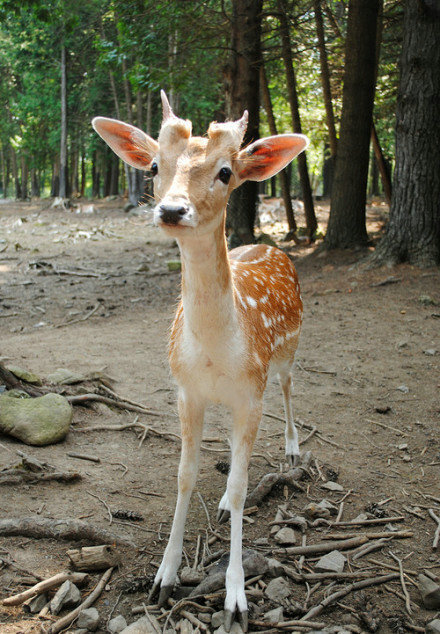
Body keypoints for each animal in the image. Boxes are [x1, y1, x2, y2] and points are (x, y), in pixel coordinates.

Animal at [91, 91, 308, 628]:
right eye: (153, 167)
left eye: (226, 171)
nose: (172, 209)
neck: (214, 353)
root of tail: (269, 245)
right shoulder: (186, 390)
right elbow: (185, 477)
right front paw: (164, 579)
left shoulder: (251, 392)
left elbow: (240, 483)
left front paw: (235, 598)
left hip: (287, 352)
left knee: (289, 388)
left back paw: (294, 450)